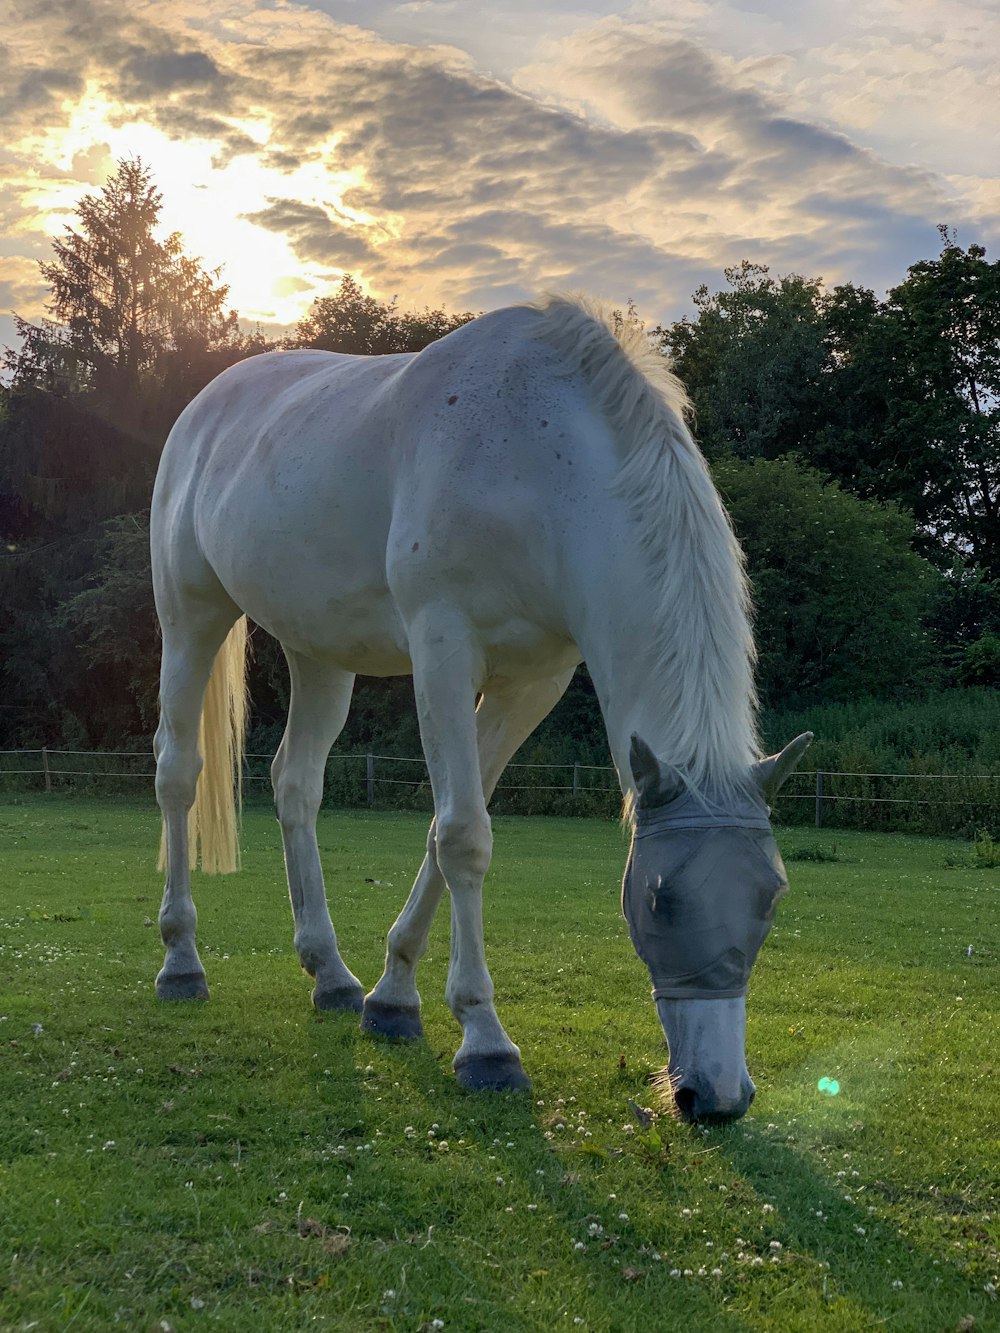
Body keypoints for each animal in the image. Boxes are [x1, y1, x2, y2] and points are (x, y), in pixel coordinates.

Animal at [150, 297, 816, 1119]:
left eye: (771, 896)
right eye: (662, 901)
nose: (717, 1096)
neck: (540, 460)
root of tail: (206, 405)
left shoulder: (532, 682)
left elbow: (445, 833)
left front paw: (392, 998)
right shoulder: (443, 647)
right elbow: (465, 836)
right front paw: (486, 1043)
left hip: (319, 652)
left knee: (295, 784)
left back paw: (331, 974)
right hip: (191, 617)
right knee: (178, 774)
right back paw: (181, 960)